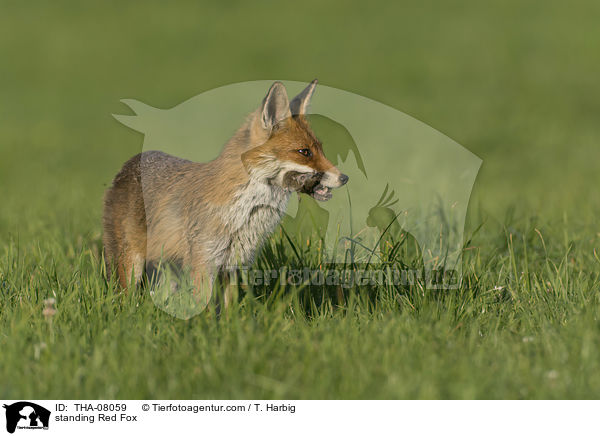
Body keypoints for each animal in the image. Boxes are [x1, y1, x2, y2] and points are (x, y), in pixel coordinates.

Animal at [102, 80, 346, 300]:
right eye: (304, 152)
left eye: (320, 149)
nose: (345, 178)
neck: (246, 213)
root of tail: (131, 162)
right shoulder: (204, 263)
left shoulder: (233, 267)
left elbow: (228, 312)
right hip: (131, 267)